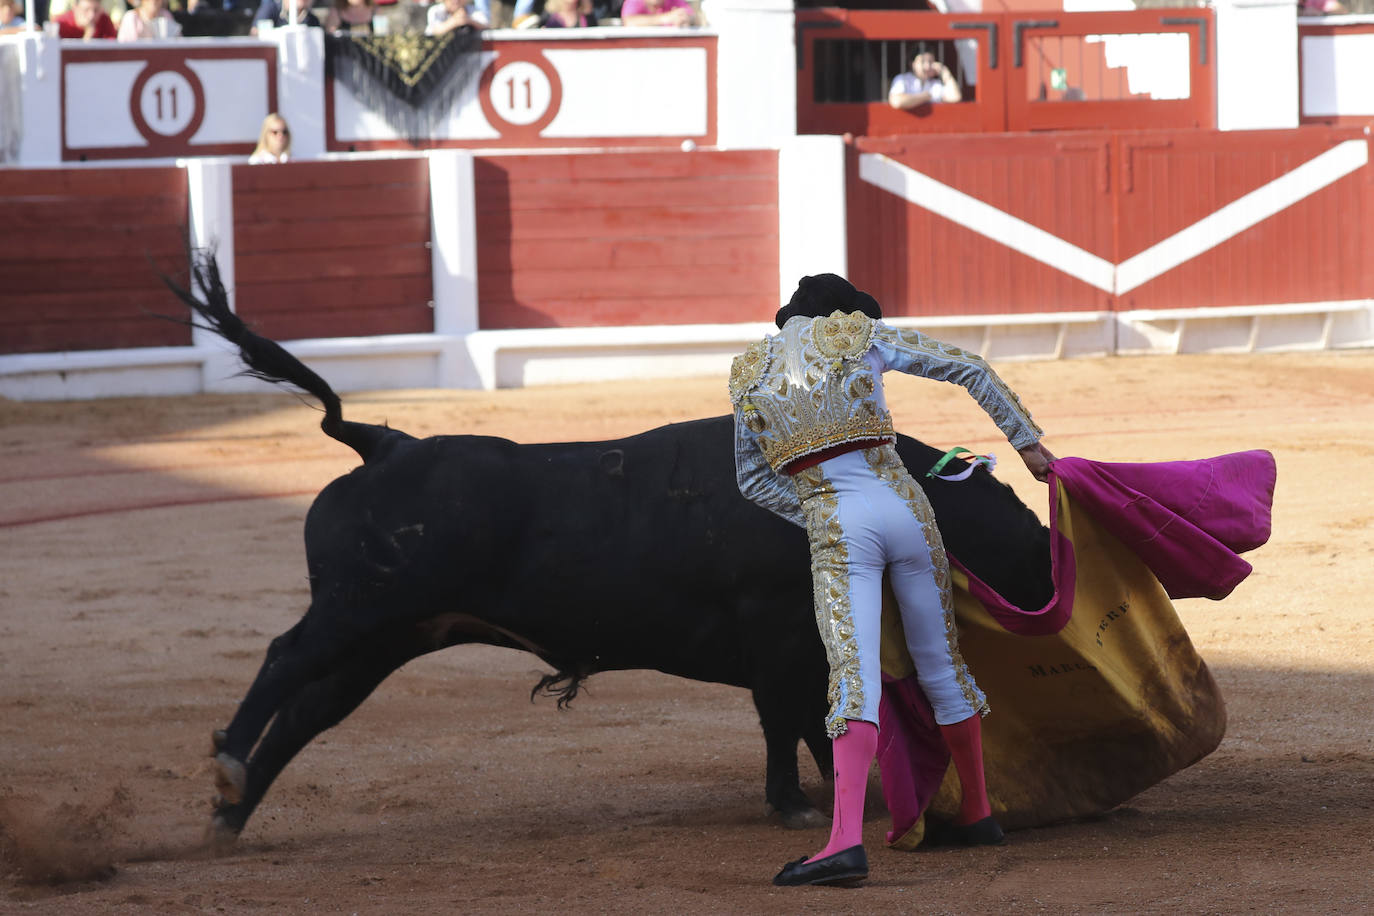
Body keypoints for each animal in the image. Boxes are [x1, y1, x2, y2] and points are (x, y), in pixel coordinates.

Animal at [169, 260, 1049, 840]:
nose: (1049, 590)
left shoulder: (794, 645)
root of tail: (382, 442)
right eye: (1031, 553)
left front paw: (822, 797)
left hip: (392, 632)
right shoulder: (778, 633)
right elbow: (789, 717)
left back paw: (229, 815)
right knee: (283, 658)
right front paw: (809, 802)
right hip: (358, 608)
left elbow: (796, 717)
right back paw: (228, 770)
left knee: (309, 709)